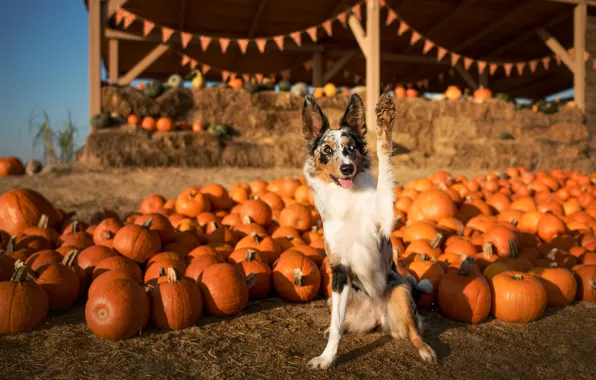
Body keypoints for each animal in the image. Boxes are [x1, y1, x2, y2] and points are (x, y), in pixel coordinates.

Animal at [302, 93, 438, 370]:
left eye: (351, 147)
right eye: (327, 150)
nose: (346, 168)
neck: (346, 198)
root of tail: (377, 315)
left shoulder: (384, 218)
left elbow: (385, 163)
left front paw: (384, 125)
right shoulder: (339, 270)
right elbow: (336, 328)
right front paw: (327, 358)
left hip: (401, 291)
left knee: (414, 332)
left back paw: (426, 350)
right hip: (333, 298)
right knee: (339, 323)